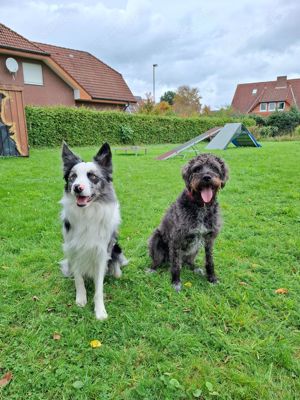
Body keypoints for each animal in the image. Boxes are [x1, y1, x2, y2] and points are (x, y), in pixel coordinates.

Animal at [60, 142, 127, 320]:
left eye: (93, 177)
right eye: (73, 177)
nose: (77, 188)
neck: (87, 213)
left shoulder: (102, 253)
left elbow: (99, 287)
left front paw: (100, 310)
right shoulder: (73, 250)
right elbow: (78, 279)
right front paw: (81, 299)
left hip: (116, 247)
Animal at [148, 153, 230, 290]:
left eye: (214, 167)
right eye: (197, 168)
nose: (206, 177)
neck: (201, 205)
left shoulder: (209, 238)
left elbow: (210, 261)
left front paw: (212, 278)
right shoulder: (176, 239)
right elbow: (176, 265)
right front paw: (175, 282)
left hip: (195, 248)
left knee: (188, 261)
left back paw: (195, 268)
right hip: (155, 238)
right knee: (159, 260)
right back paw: (152, 269)